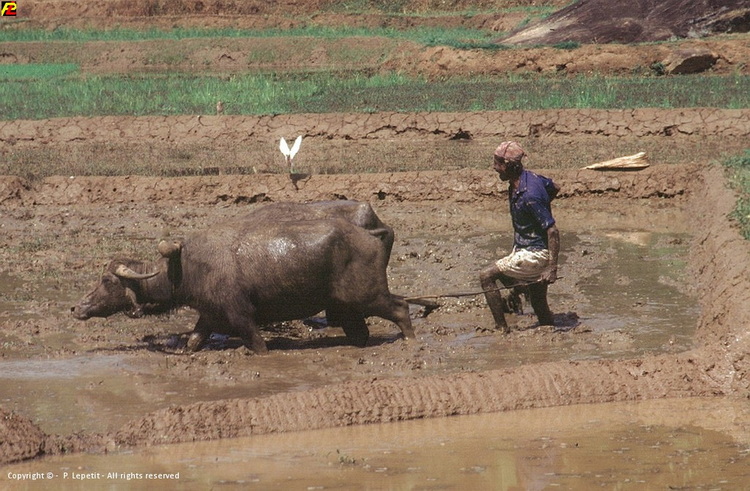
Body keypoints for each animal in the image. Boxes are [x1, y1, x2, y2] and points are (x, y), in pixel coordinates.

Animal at [72, 213, 414, 353]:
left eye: (106, 279)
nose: (76, 307)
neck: (184, 267)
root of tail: (370, 235)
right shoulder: (208, 315)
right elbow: (194, 340)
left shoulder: (241, 316)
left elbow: (257, 344)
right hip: (347, 306)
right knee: (360, 331)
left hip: (369, 295)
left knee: (401, 307)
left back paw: (410, 340)